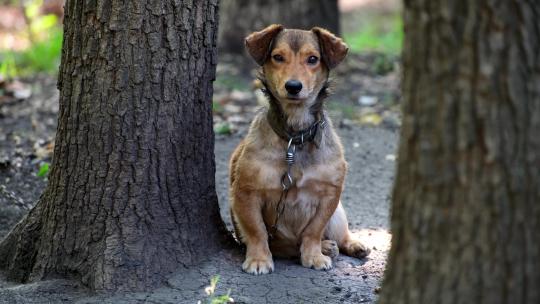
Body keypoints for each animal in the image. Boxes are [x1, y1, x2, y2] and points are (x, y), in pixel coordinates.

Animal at [228, 24, 372, 276]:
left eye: (312, 59)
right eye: (278, 57)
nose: (293, 86)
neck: (295, 138)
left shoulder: (330, 194)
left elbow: (313, 230)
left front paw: (313, 255)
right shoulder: (245, 194)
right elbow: (257, 231)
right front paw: (259, 259)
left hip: (338, 214)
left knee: (339, 234)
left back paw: (349, 244)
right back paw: (324, 246)